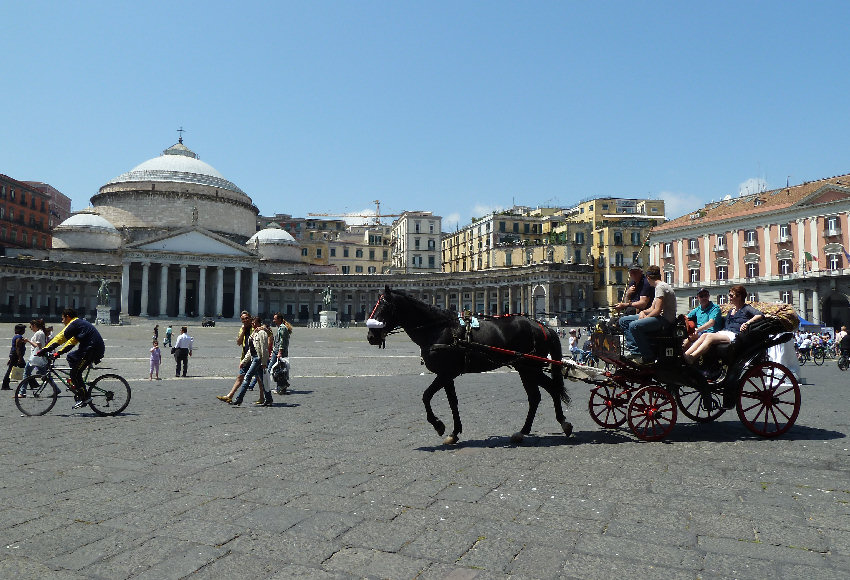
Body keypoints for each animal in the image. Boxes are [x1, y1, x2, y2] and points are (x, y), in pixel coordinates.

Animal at [364, 286, 568, 444]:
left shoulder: (445, 373)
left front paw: (439, 425)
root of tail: (542, 326)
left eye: (383, 307)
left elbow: (426, 396)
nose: (371, 337)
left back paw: (561, 423)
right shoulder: (447, 375)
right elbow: (452, 401)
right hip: (525, 368)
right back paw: (526, 431)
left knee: (548, 390)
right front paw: (454, 433)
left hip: (530, 366)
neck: (437, 329)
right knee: (539, 395)